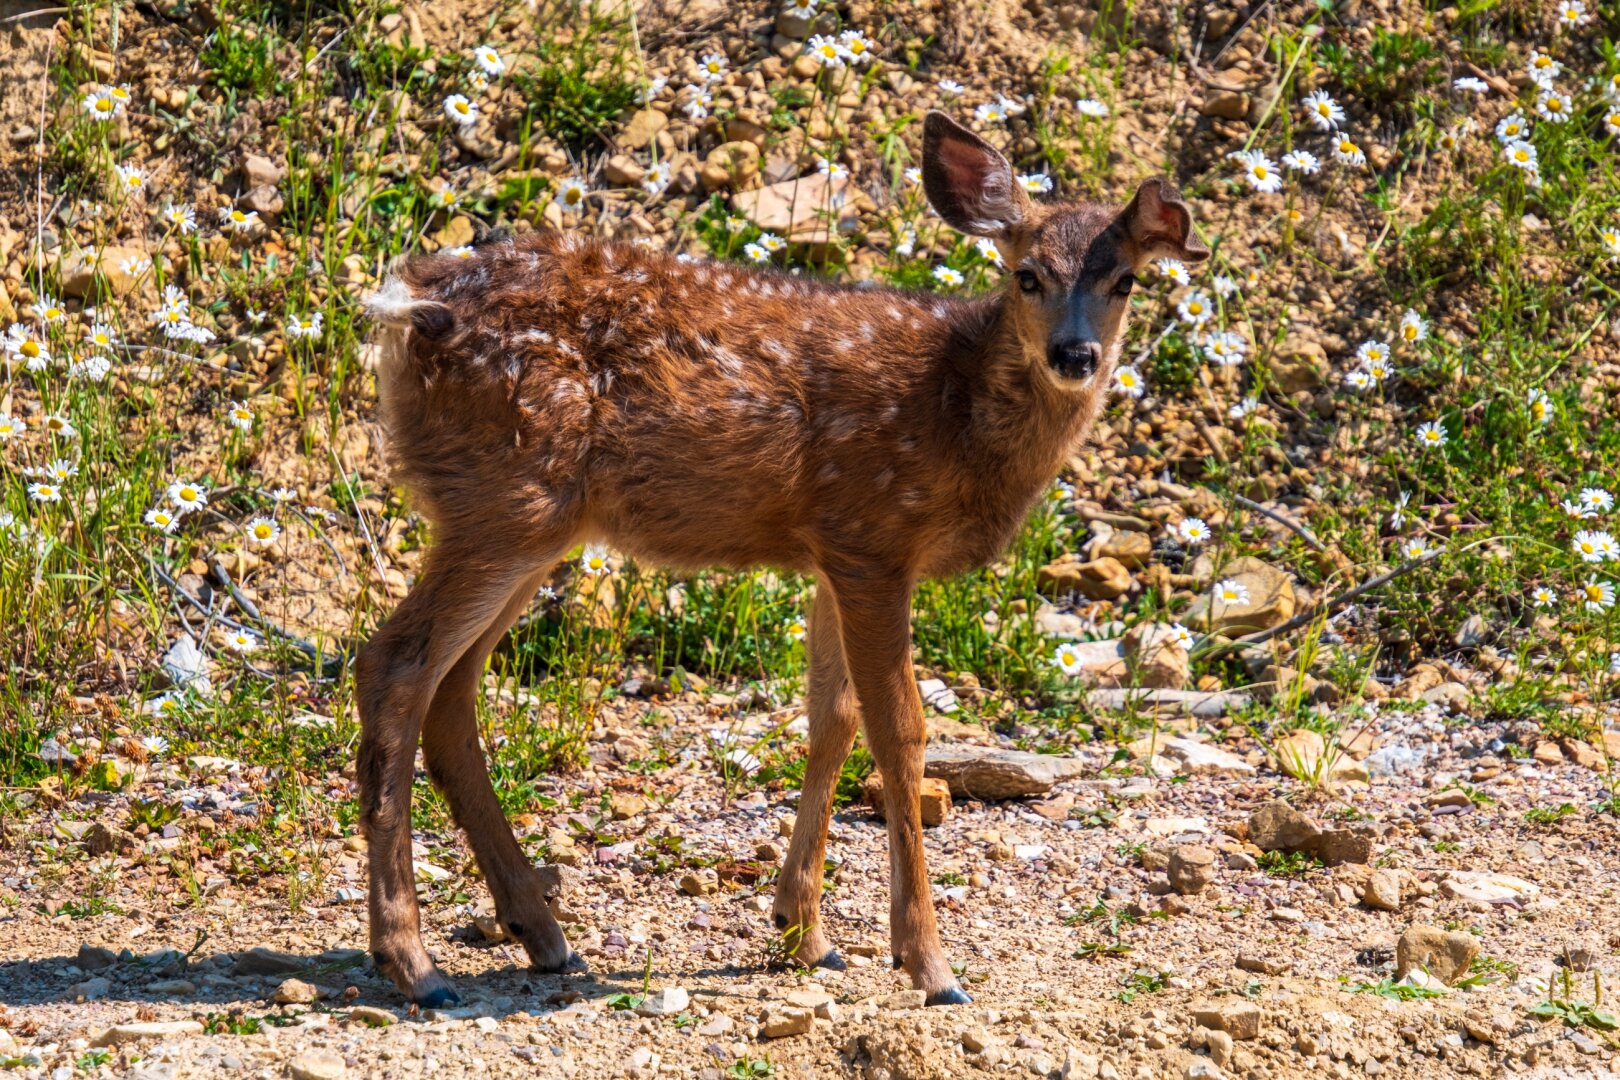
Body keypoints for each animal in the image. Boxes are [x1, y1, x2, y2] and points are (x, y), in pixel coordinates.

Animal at [357, 110, 1208, 1009]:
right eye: (1027, 275)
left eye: (1125, 281)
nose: (1075, 357)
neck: (954, 413)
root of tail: (412, 305)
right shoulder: (873, 535)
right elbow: (900, 732)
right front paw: (929, 963)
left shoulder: (831, 550)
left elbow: (831, 720)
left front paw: (806, 932)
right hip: (510, 495)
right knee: (395, 664)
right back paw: (412, 959)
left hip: (523, 522)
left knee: (451, 691)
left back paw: (540, 933)